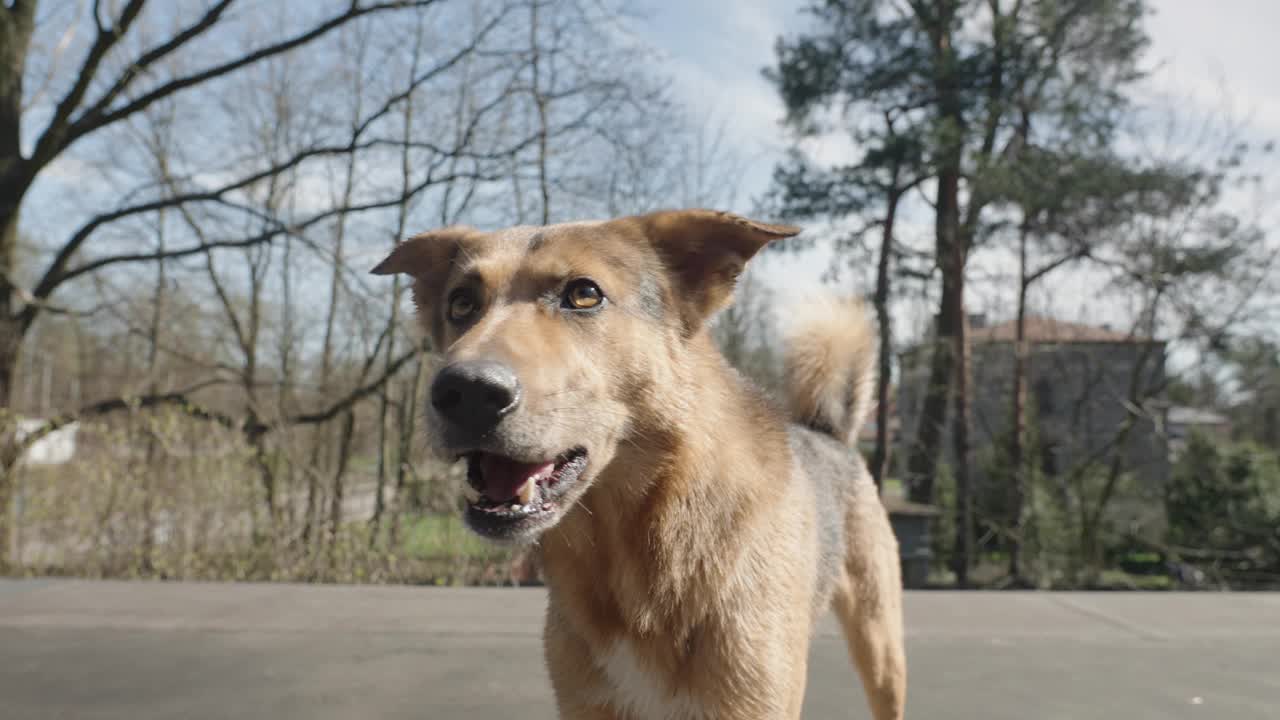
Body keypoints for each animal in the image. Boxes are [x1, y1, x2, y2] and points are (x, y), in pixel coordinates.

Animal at [373, 208, 906, 717]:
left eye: (584, 294)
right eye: (461, 303)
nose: (464, 391)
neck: (629, 546)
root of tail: (828, 433)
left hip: (881, 648)